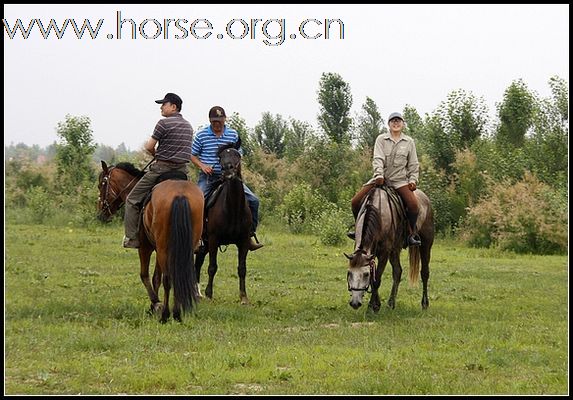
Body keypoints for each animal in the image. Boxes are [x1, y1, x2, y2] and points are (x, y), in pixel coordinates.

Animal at [97, 160, 204, 322]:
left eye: (101, 185)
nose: (101, 213)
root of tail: (180, 194)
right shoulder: (158, 248)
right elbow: (156, 278)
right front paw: (154, 306)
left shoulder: (145, 247)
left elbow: (145, 275)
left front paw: (155, 303)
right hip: (183, 246)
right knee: (179, 275)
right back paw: (177, 313)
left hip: (163, 247)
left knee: (168, 278)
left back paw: (166, 315)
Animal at [194, 142, 252, 304]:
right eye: (220, 157)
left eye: (237, 155)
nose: (228, 170)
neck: (233, 209)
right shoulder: (214, 239)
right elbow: (212, 267)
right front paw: (209, 294)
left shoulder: (244, 241)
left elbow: (242, 268)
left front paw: (243, 297)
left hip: (205, 245)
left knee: (197, 263)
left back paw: (197, 293)